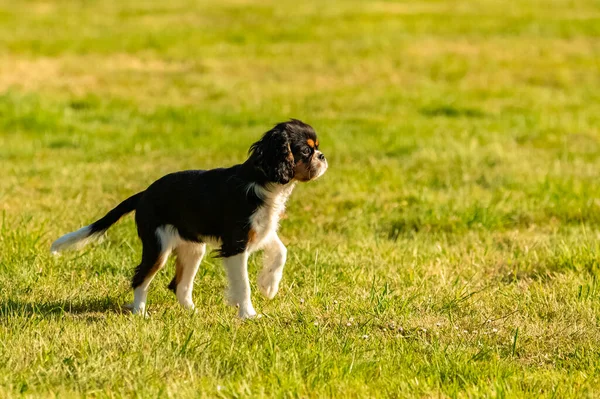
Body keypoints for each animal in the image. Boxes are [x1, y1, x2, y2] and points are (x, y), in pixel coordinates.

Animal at [50, 120, 328, 320]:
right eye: (306, 150)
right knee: (141, 278)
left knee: (179, 285)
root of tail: (144, 194)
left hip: (193, 249)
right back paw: (140, 312)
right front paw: (249, 314)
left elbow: (281, 251)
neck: (262, 181)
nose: (323, 156)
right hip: (158, 247)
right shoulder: (235, 244)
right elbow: (243, 284)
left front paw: (269, 285)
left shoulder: (260, 231)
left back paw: (192, 312)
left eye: (316, 148)